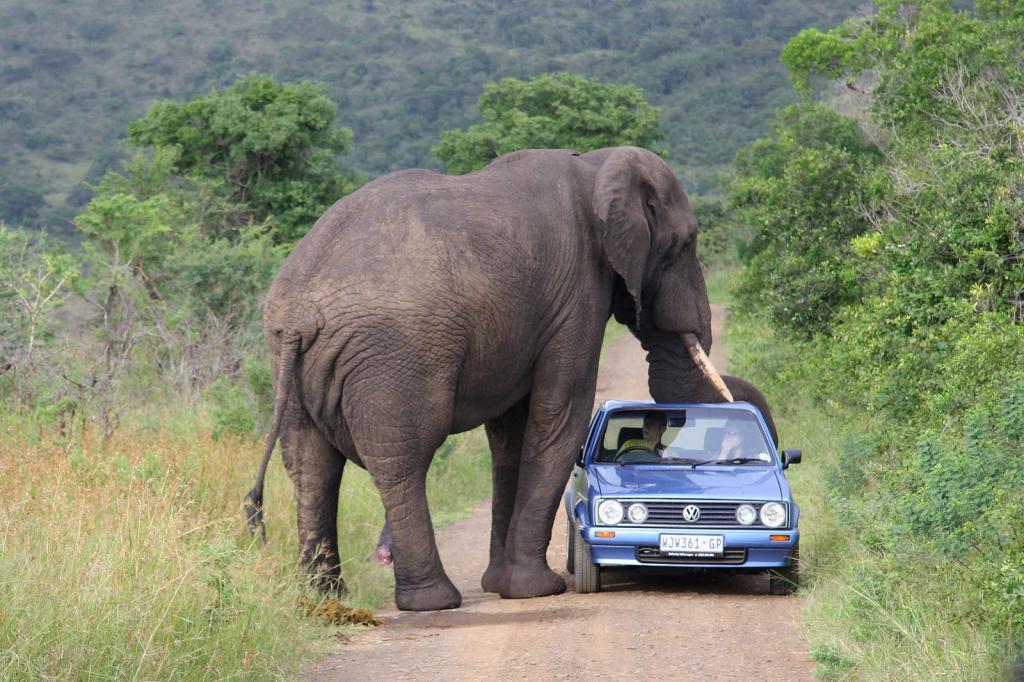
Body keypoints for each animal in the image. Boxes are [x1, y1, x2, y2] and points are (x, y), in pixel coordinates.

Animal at [244, 144, 749, 610]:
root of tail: (301, 311)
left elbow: (510, 435)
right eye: (686, 243)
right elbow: (559, 415)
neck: (595, 164)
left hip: (286, 357)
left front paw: (500, 585)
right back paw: (432, 602)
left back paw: (323, 599)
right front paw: (536, 590)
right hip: (394, 356)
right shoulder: (577, 295)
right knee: (403, 460)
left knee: (311, 465)